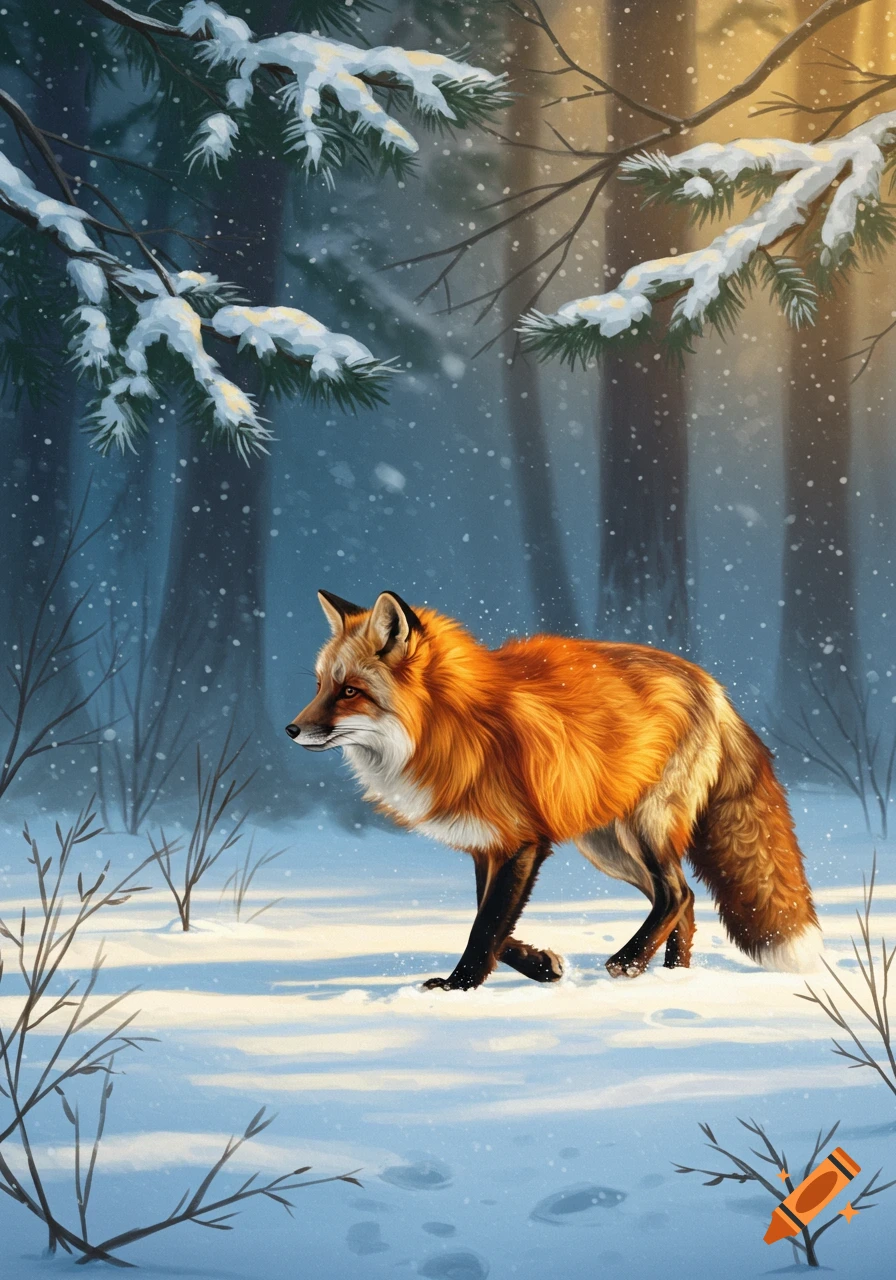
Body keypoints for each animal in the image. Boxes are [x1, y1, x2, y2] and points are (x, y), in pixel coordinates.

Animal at [285, 590, 822, 991]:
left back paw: (630, 962)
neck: (451, 726)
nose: (290, 730)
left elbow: (486, 925)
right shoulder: (488, 841)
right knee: (685, 902)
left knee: (675, 894)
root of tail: (711, 683)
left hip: (644, 829)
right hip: (606, 845)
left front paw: (459, 986)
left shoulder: (522, 840)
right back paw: (672, 978)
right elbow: (494, 922)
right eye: (319, 685)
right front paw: (543, 965)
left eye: (350, 691)